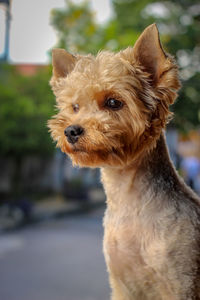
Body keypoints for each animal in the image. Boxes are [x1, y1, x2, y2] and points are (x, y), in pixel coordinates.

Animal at [48, 24, 200, 300]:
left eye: (113, 102)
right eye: (75, 107)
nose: (71, 131)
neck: (129, 203)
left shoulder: (182, 282)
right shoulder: (122, 283)